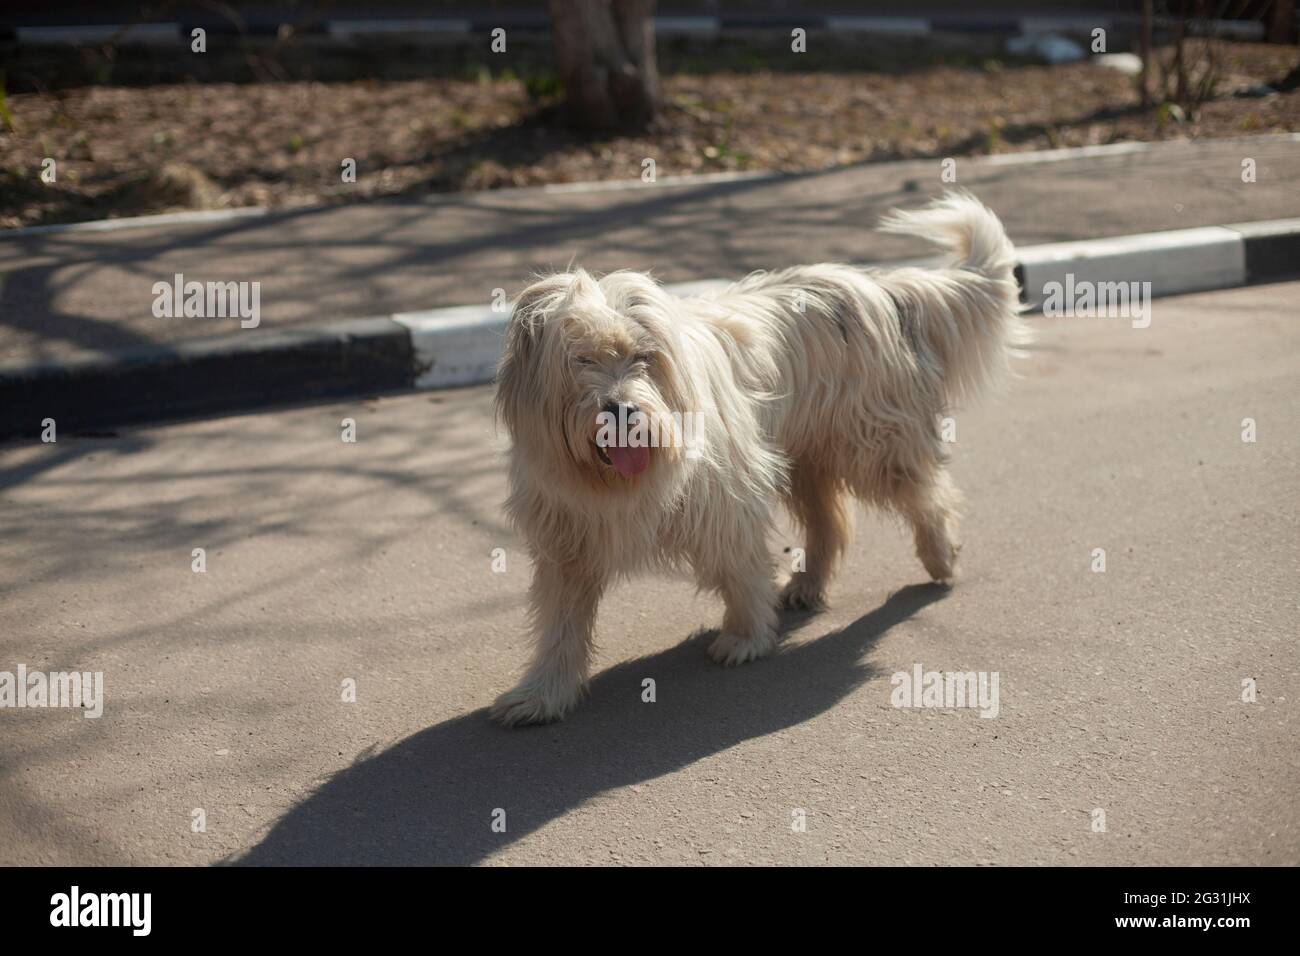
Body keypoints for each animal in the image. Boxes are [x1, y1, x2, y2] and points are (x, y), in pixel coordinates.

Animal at [488, 191, 1024, 723]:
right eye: (581, 358)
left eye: (642, 357)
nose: (622, 410)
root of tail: (882, 286)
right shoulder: (566, 536)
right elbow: (561, 622)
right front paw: (543, 692)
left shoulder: (728, 501)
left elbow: (740, 568)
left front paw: (746, 637)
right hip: (806, 457)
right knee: (831, 522)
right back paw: (810, 583)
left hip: (874, 442)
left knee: (925, 494)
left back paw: (940, 556)